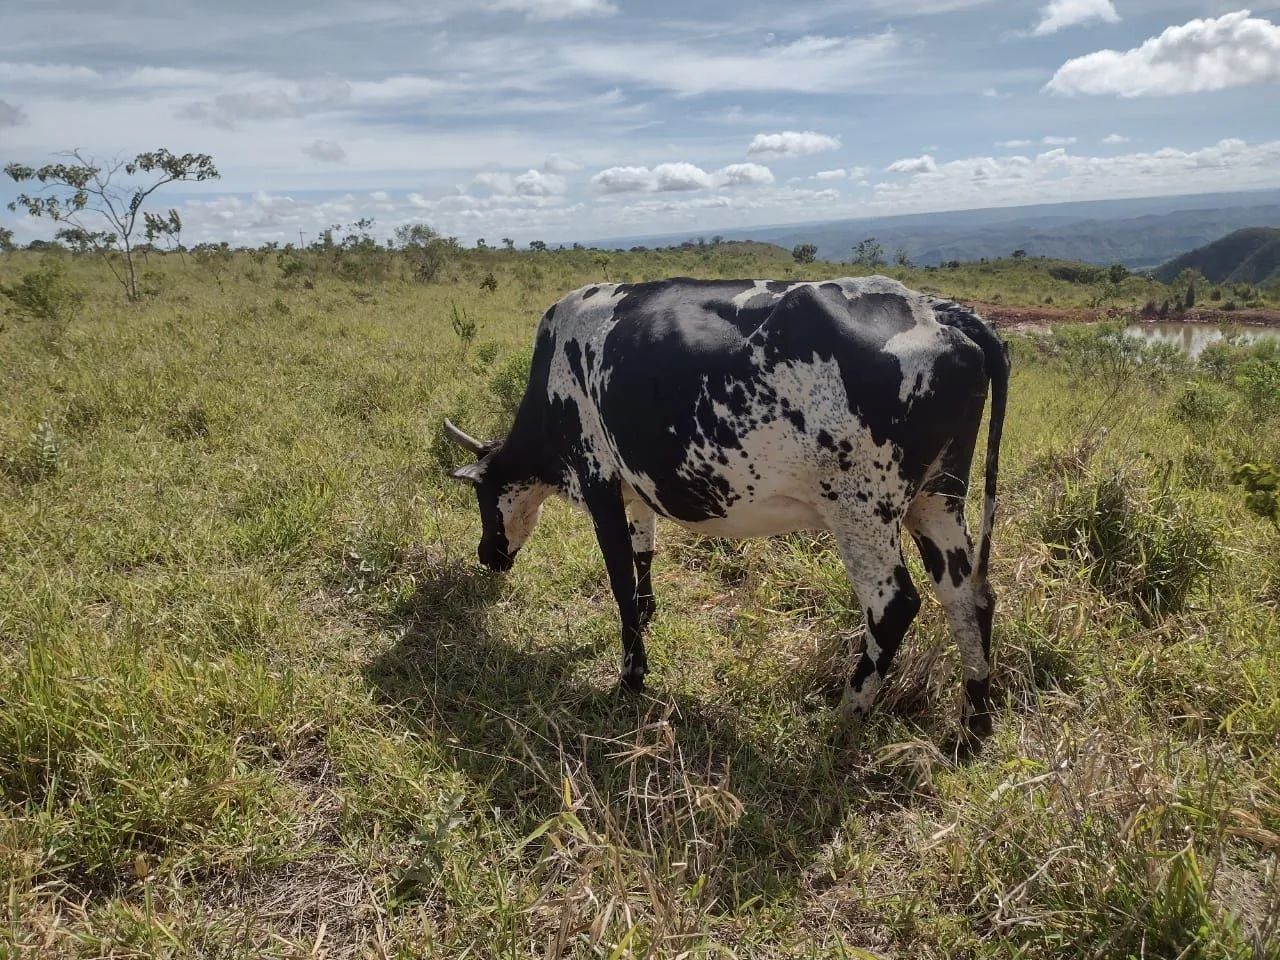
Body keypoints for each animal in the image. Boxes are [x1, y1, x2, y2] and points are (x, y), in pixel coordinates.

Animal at [443, 275, 1009, 739]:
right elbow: (644, 553)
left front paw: (630, 677)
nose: (486, 554)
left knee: (895, 607)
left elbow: (620, 581)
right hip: (938, 498)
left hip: (861, 509)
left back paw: (845, 717)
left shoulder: (596, 477)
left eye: (481, 496)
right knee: (969, 598)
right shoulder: (635, 484)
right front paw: (648, 614)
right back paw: (973, 723)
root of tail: (939, 310)